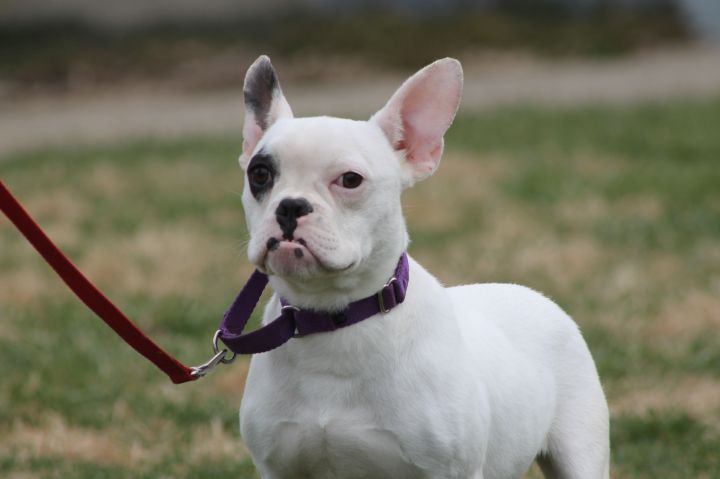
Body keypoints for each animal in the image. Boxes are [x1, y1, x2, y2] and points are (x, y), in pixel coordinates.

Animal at [236, 56, 608, 479]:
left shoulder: (452, 470)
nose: (290, 206)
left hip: (580, 450)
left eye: (350, 179)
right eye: (259, 174)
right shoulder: (278, 467)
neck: (334, 318)